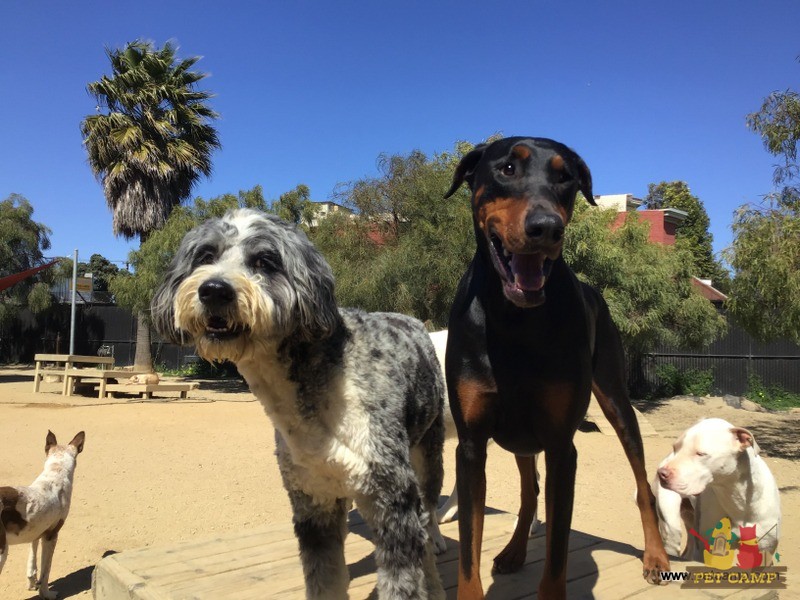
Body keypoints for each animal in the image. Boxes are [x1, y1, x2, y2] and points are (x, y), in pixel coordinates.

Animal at [0, 432, 85, 596]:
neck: (56, 472)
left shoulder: (37, 531)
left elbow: (32, 556)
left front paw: (32, 581)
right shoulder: (51, 536)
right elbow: (46, 570)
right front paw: (46, 593)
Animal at [153, 209, 446, 596]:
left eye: (265, 261)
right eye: (205, 255)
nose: (214, 290)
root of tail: (411, 320)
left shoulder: (392, 500)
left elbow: (403, 581)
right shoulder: (312, 500)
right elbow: (324, 580)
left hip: (427, 453)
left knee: (427, 521)